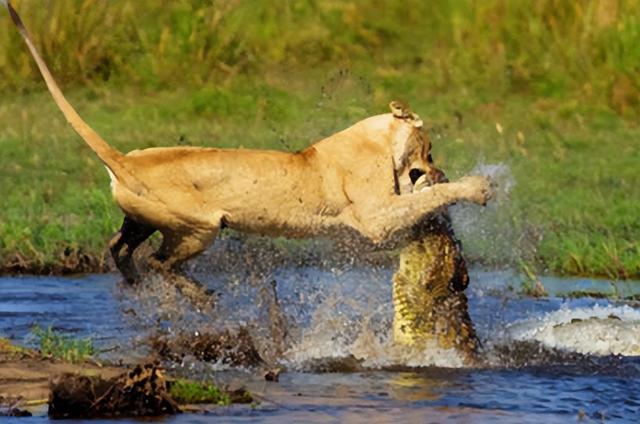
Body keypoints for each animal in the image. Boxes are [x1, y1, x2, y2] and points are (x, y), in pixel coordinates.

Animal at [2, 0, 492, 288]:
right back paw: (197, 296)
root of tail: (124, 158)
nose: (436, 169)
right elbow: (426, 200)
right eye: (430, 149)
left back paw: (135, 281)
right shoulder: (373, 220)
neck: (377, 139)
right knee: (161, 262)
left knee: (118, 245)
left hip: (142, 217)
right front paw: (477, 187)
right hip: (199, 227)